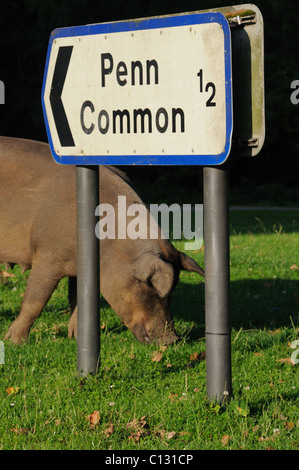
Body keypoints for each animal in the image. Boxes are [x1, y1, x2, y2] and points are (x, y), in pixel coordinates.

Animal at [0, 136, 205, 346]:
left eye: (172, 292)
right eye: (149, 285)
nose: (172, 339)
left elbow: (78, 299)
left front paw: (75, 338)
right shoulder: (48, 255)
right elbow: (35, 300)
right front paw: (14, 342)